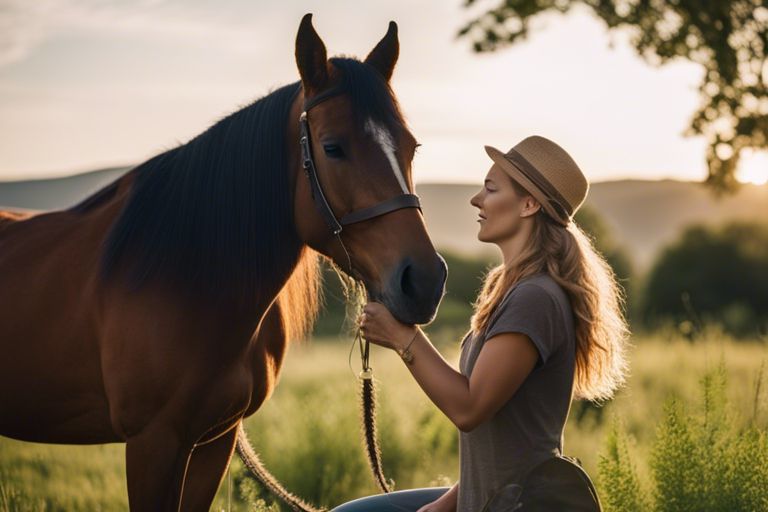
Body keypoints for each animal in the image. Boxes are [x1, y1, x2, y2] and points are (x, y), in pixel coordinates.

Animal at [0, 14, 448, 510]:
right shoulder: (154, 443)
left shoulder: (215, 441)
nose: (425, 281)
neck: (188, 281)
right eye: (333, 147)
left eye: (411, 146)